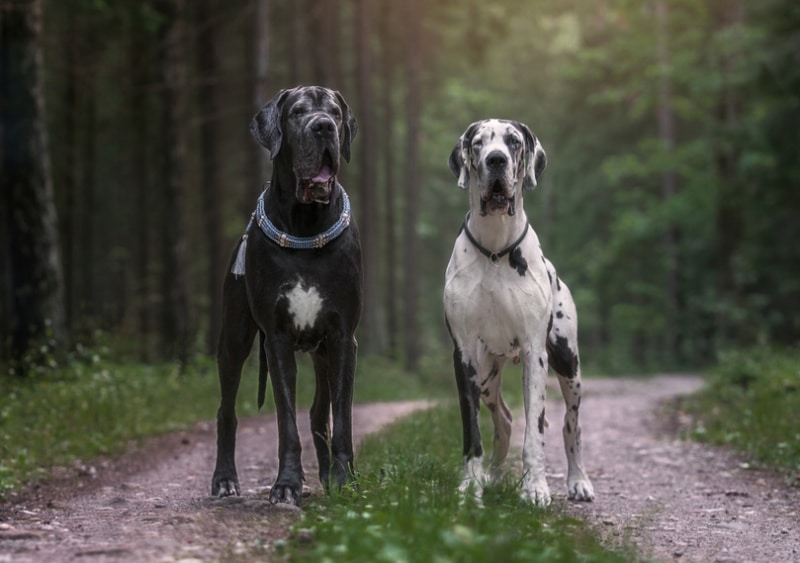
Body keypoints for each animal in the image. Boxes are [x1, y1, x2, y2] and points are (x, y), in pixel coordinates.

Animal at [212, 85, 362, 506]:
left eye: (335, 113)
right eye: (297, 112)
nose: (324, 127)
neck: (305, 224)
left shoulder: (343, 338)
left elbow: (341, 418)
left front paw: (345, 481)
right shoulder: (277, 339)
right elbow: (286, 423)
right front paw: (287, 485)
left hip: (323, 353)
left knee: (319, 413)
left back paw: (328, 476)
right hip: (234, 340)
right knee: (226, 411)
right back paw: (225, 480)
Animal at [444, 118, 592, 506]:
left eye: (513, 142)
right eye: (478, 144)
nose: (496, 160)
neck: (496, 250)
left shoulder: (534, 353)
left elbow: (536, 433)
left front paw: (535, 488)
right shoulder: (463, 354)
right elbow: (473, 433)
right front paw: (471, 486)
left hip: (568, 365)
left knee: (571, 426)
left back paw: (578, 481)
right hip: (485, 373)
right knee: (505, 420)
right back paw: (494, 477)